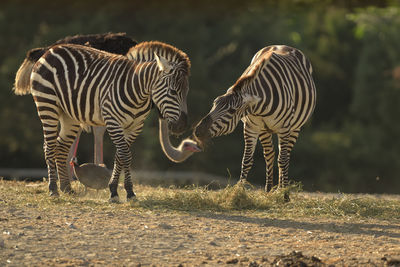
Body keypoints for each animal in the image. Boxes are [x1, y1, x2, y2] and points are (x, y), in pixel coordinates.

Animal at [29, 41, 191, 201]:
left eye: (186, 92)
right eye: (172, 92)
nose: (182, 126)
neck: (137, 91)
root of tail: (53, 49)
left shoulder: (135, 127)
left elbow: (119, 156)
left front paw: (113, 189)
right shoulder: (113, 121)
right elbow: (125, 155)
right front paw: (128, 192)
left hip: (69, 115)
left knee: (61, 147)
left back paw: (66, 188)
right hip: (47, 104)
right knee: (49, 146)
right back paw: (53, 189)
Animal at [194, 45, 316, 193]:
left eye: (232, 111)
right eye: (214, 103)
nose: (198, 131)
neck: (260, 106)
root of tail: (284, 46)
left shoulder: (284, 127)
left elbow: (283, 160)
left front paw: (284, 194)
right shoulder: (251, 127)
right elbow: (246, 160)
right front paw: (238, 190)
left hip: (294, 128)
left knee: (284, 157)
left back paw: (281, 188)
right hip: (264, 130)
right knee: (269, 154)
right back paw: (269, 190)